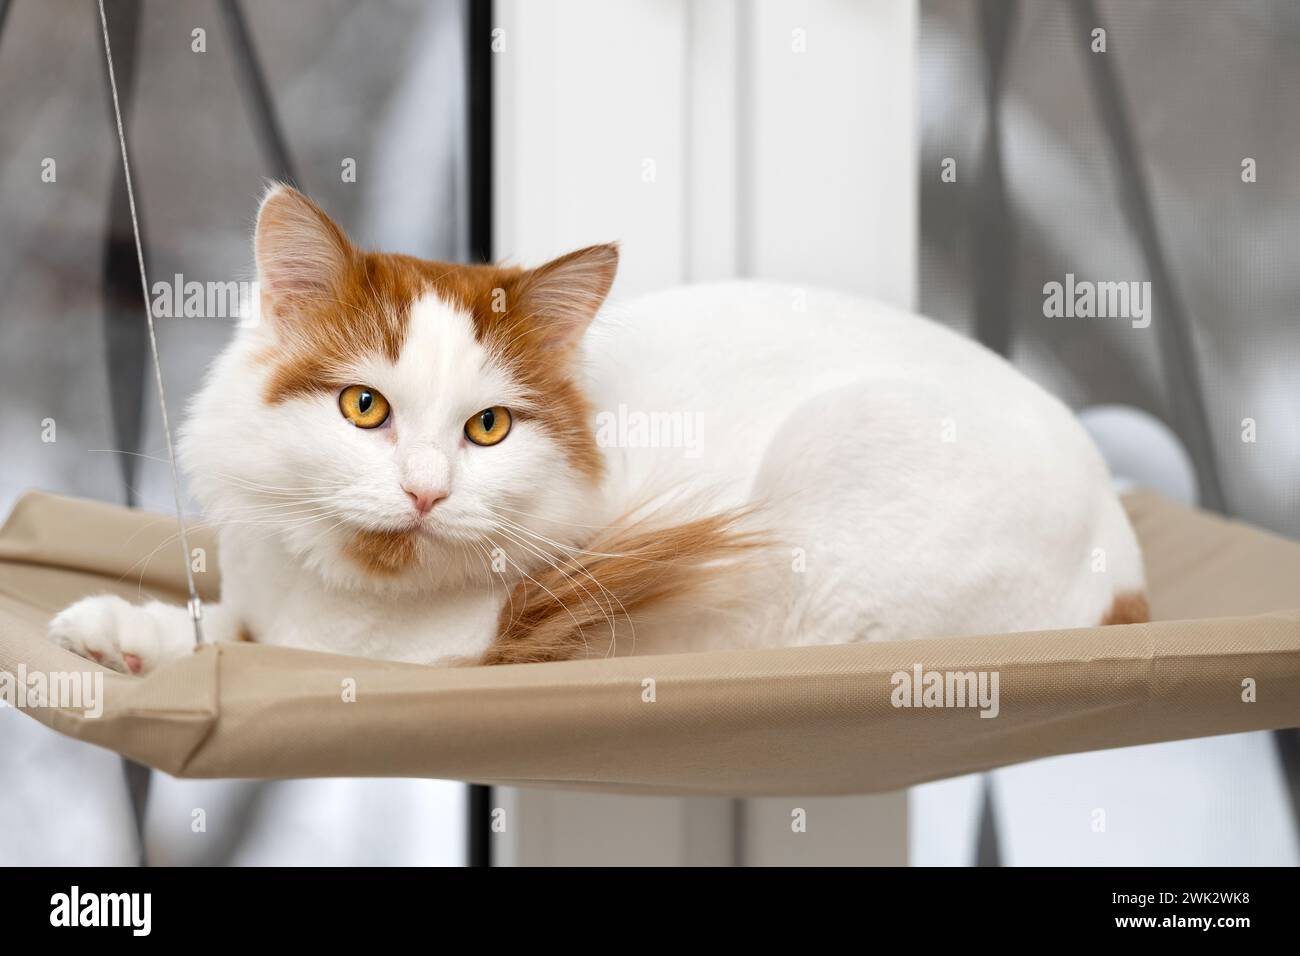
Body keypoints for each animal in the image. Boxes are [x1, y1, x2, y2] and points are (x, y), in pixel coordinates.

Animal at [48, 187, 1149, 676]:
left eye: (489, 427)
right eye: (366, 407)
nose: (425, 488)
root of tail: (1121, 542)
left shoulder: (461, 641)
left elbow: (294, 651)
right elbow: (221, 626)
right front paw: (123, 630)